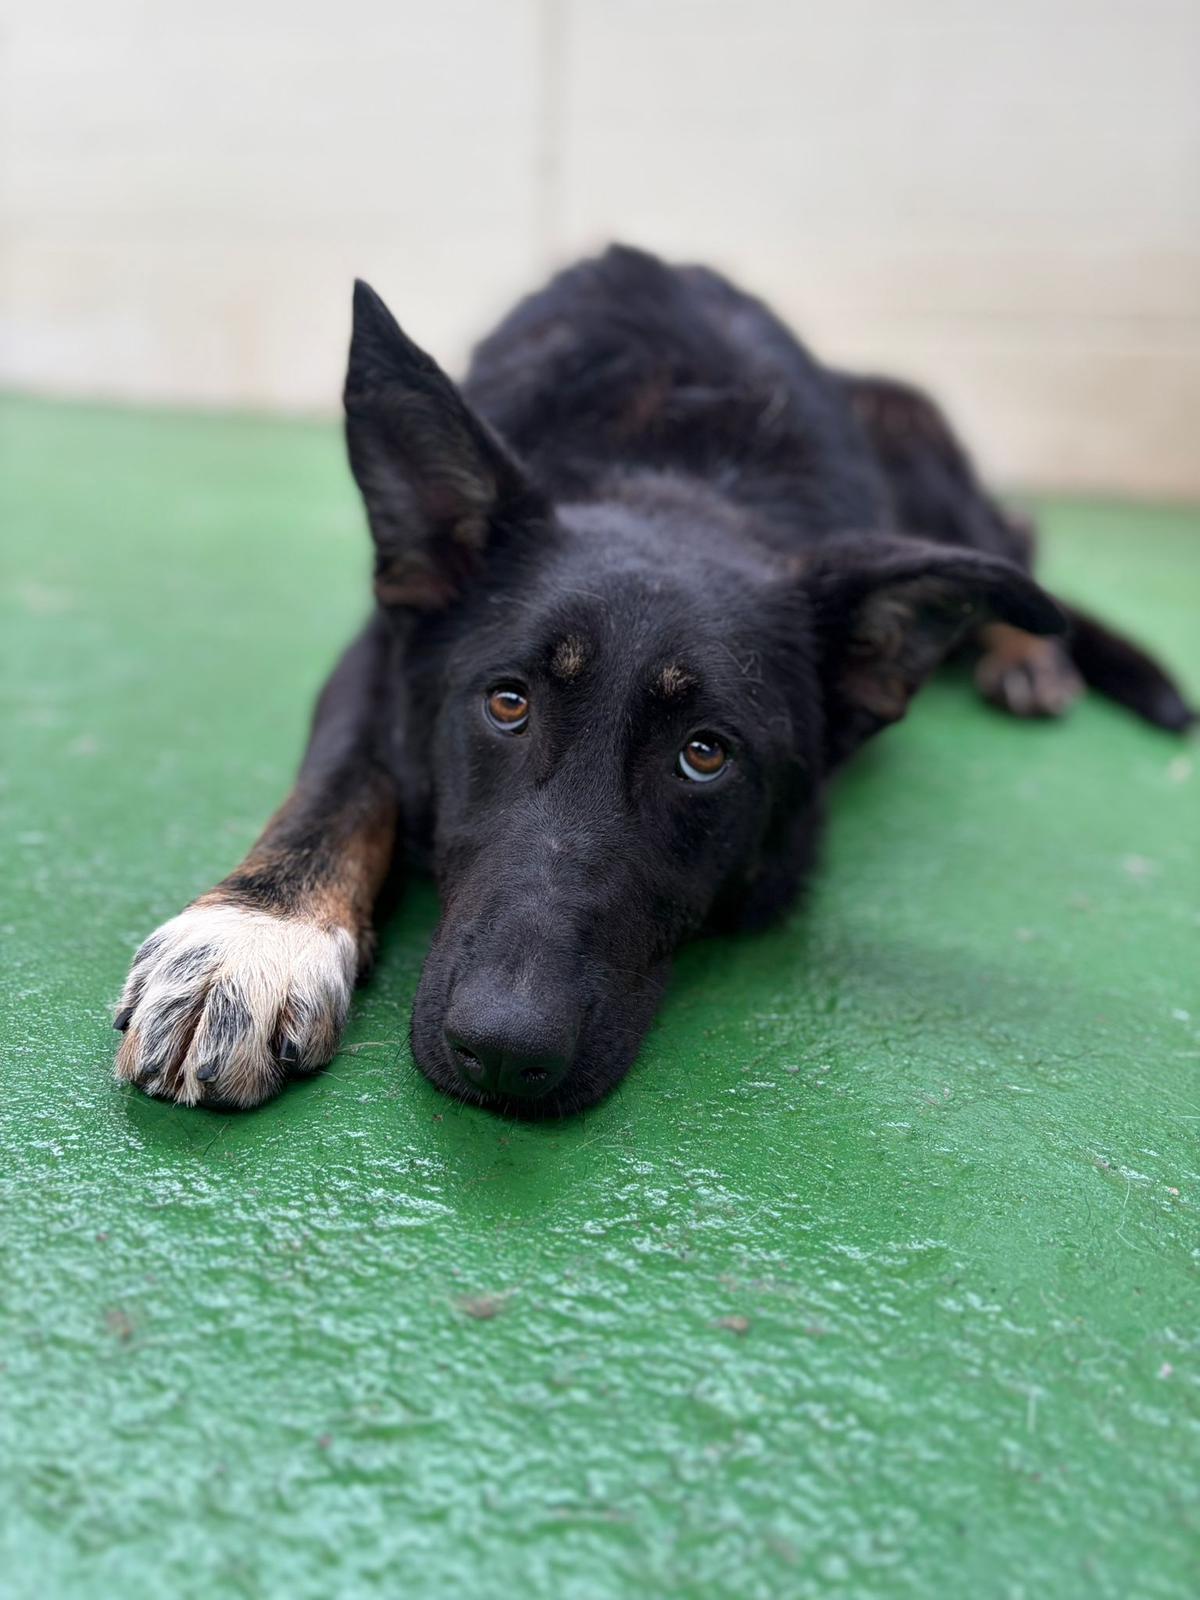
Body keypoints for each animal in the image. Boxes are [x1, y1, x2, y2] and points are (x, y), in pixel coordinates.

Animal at [113, 245, 1194, 1116]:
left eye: (704, 755)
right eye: (508, 704)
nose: (502, 1052)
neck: (673, 468)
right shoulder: (379, 652)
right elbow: (339, 782)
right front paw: (250, 941)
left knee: (1016, 533)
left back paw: (1030, 652)